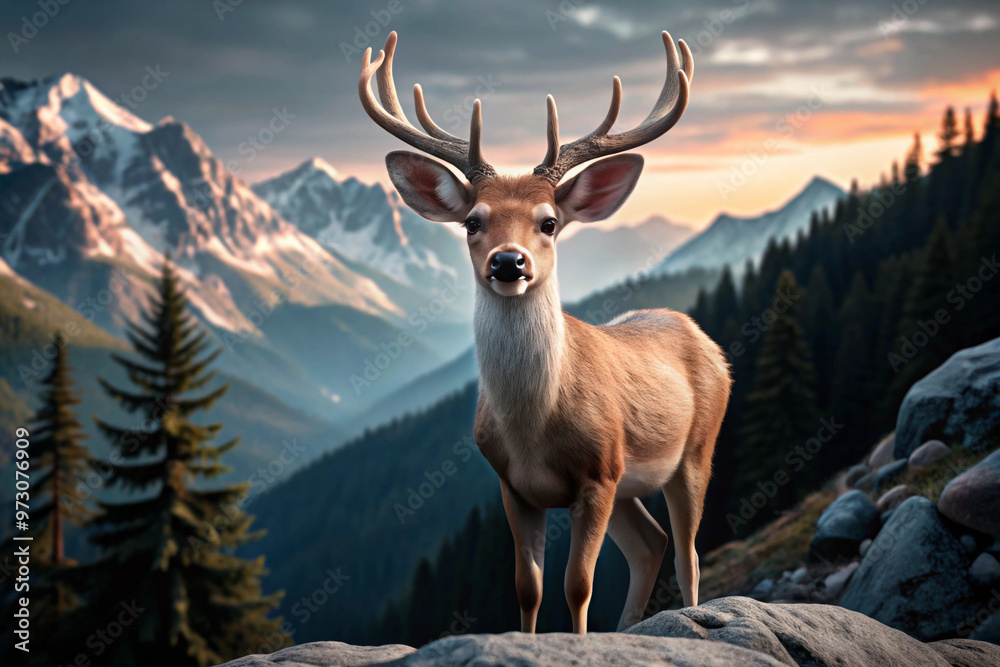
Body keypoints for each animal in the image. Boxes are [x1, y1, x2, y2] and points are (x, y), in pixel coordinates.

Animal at [359, 30, 731, 635]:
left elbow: (577, 585)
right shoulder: (513, 486)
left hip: (696, 450)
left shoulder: (599, 475)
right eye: (473, 221)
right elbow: (527, 588)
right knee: (650, 544)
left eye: (549, 221)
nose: (509, 263)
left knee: (687, 552)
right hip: (630, 485)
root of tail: (703, 337)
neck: (534, 426)